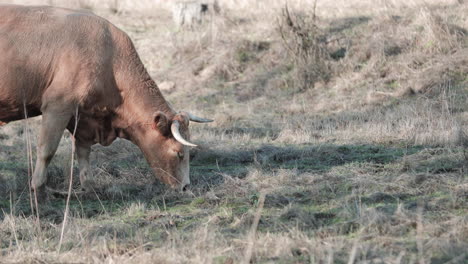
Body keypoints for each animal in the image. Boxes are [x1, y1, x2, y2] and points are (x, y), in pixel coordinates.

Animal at [0, 3, 212, 194]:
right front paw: (38, 190)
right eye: (179, 153)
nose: (186, 187)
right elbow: (47, 150)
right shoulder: (57, 105)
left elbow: (83, 152)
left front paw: (89, 188)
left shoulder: (82, 118)